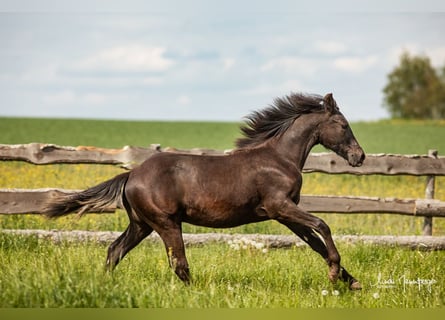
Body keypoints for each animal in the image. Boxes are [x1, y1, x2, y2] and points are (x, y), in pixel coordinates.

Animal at [44, 92, 364, 290]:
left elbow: (315, 243)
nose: (358, 157)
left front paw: (352, 281)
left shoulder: (284, 215)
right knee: (179, 264)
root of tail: (131, 174)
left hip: (141, 224)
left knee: (115, 250)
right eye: (343, 124)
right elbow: (322, 225)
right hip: (166, 223)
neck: (279, 159)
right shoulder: (279, 206)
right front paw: (335, 273)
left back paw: (104, 284)